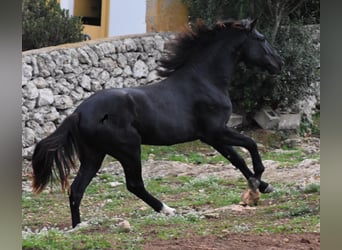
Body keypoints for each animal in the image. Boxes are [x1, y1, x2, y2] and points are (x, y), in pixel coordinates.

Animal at [32, 18, 282, 228]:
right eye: (261, 39)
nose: (278, 63)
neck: (205, 81)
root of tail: (79, 113)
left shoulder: (212, 137)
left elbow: (237, 159)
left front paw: (262, 187)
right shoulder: (216, 132)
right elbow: (250, 145)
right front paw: (256, 186)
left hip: (94, 155)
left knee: (76, 189)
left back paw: (78, 226)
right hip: (129, 149)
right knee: (134, 184)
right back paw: (167, 209)